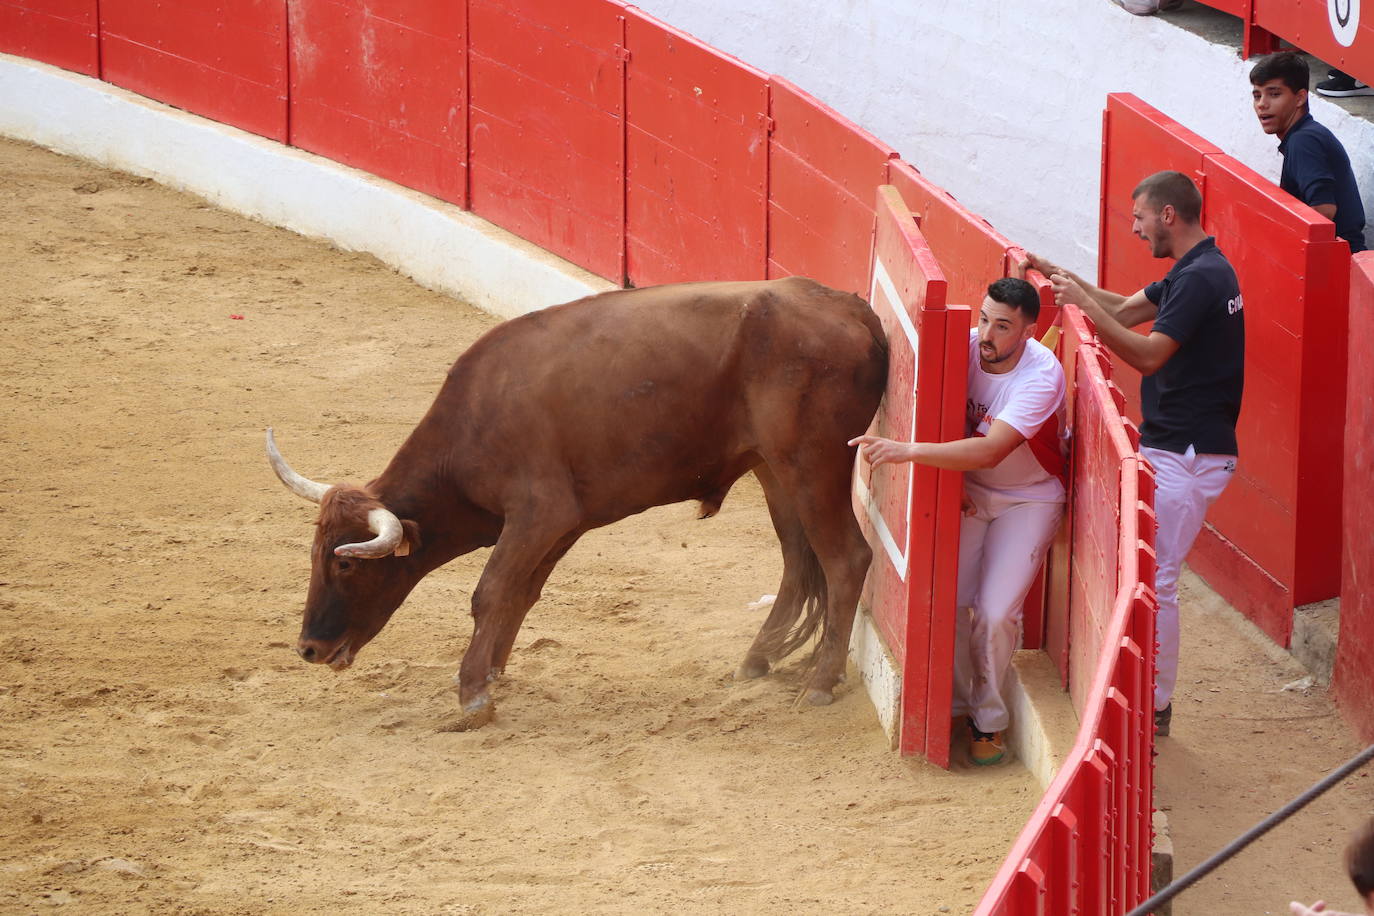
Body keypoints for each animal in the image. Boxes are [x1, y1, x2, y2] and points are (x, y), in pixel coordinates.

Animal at [267, 276, 890, 725]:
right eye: (315, 554)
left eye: (347, 565)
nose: (308, 649)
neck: (475, 421)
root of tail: (854, 309)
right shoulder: (561, 525)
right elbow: (520, 593)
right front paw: (490, 674)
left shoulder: (539, 513)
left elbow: (490, 590)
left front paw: (472, 695)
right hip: (772, 470)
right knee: (798, 565)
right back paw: (755, 661)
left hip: (809, 464)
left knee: (845, 559)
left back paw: (818, 684)